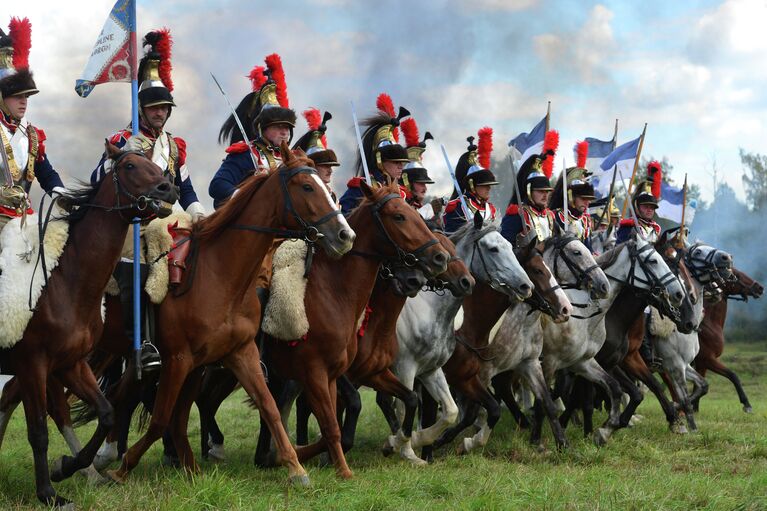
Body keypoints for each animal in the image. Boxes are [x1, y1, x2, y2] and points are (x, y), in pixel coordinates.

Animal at [0, 144, 176, 508]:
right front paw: (49, 493)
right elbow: (38, 431)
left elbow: (106, 412)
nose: (168, 189)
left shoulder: (70, 364)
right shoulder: (33, 364)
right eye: (129, 165)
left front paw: (66, 467)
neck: (66, 282)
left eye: (156, 165)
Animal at [100, 145, 356, 488]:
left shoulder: (239, 353)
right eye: (306, 187)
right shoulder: (177, 360)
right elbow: (160, 418)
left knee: (139, 404)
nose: (345, 235)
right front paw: (124, 467)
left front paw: (296, 469)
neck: (222, 275)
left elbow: (269, 407)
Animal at [692, 266, 764, 414]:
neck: (707, 325)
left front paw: (693, 408)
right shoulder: (708, 360)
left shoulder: (702, 364)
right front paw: (747, 404)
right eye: (734, 274)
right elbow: (733, 375)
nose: (759, 288)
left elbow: (699, 387)